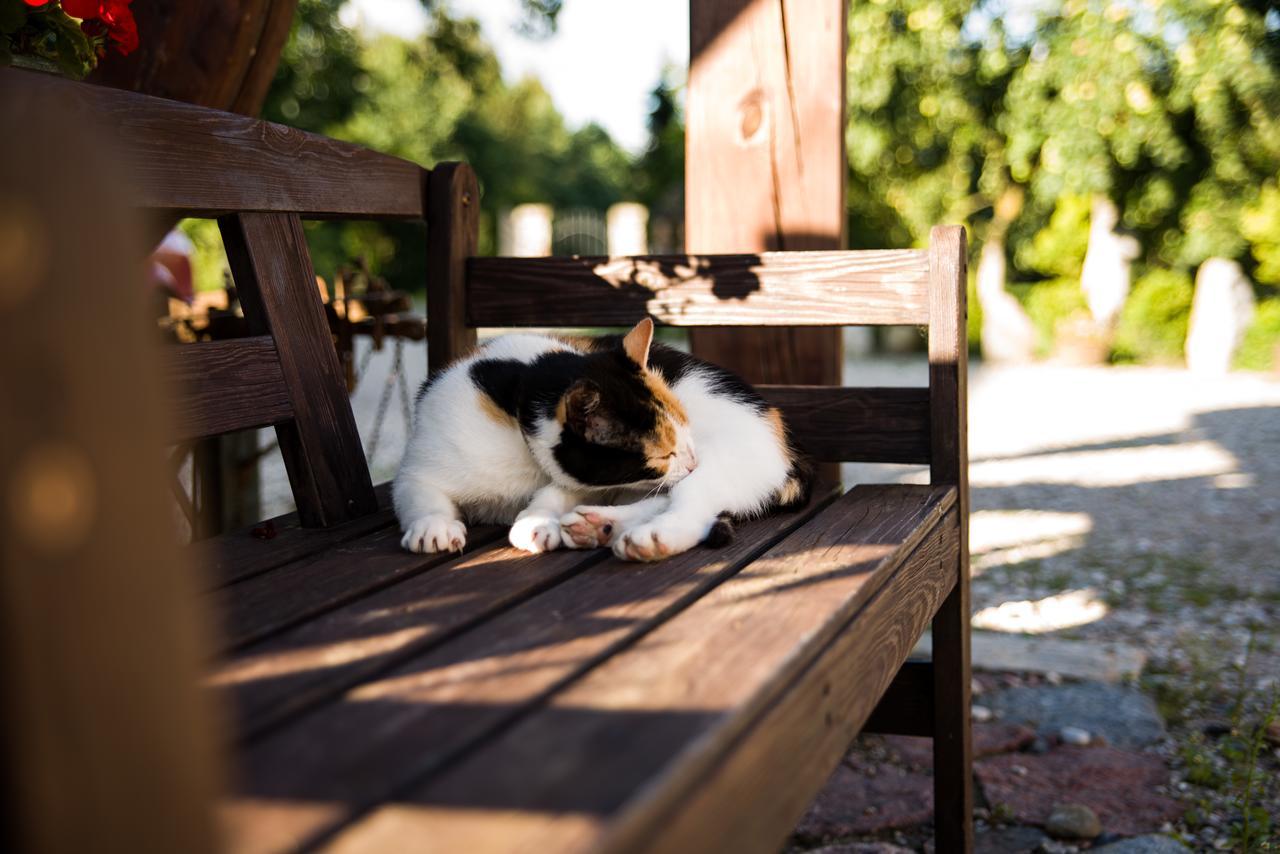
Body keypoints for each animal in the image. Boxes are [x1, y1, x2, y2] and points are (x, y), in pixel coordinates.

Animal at [391, 317, 808, 563]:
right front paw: (432, 527)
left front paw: (537, 520)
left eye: (687, 433)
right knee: (665, 498)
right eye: (666, 453)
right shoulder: (421, 461)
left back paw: (651, 538)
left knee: (691, 503)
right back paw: (601, 526)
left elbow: (556, 490)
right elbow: (420, 492)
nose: (691, 459)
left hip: (729, 455)